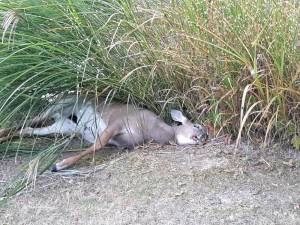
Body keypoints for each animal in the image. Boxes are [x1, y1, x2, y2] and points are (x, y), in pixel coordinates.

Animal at [0, 94, 207, 171]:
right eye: (197, 125)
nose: (205, 136)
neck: (150, 128)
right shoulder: (116, 123)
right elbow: (97, 145)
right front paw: (59, 165)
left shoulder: (121, 141)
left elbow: (100, 145)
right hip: (58, 106)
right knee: (28, 120)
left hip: (61, 126)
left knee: (27, 129)